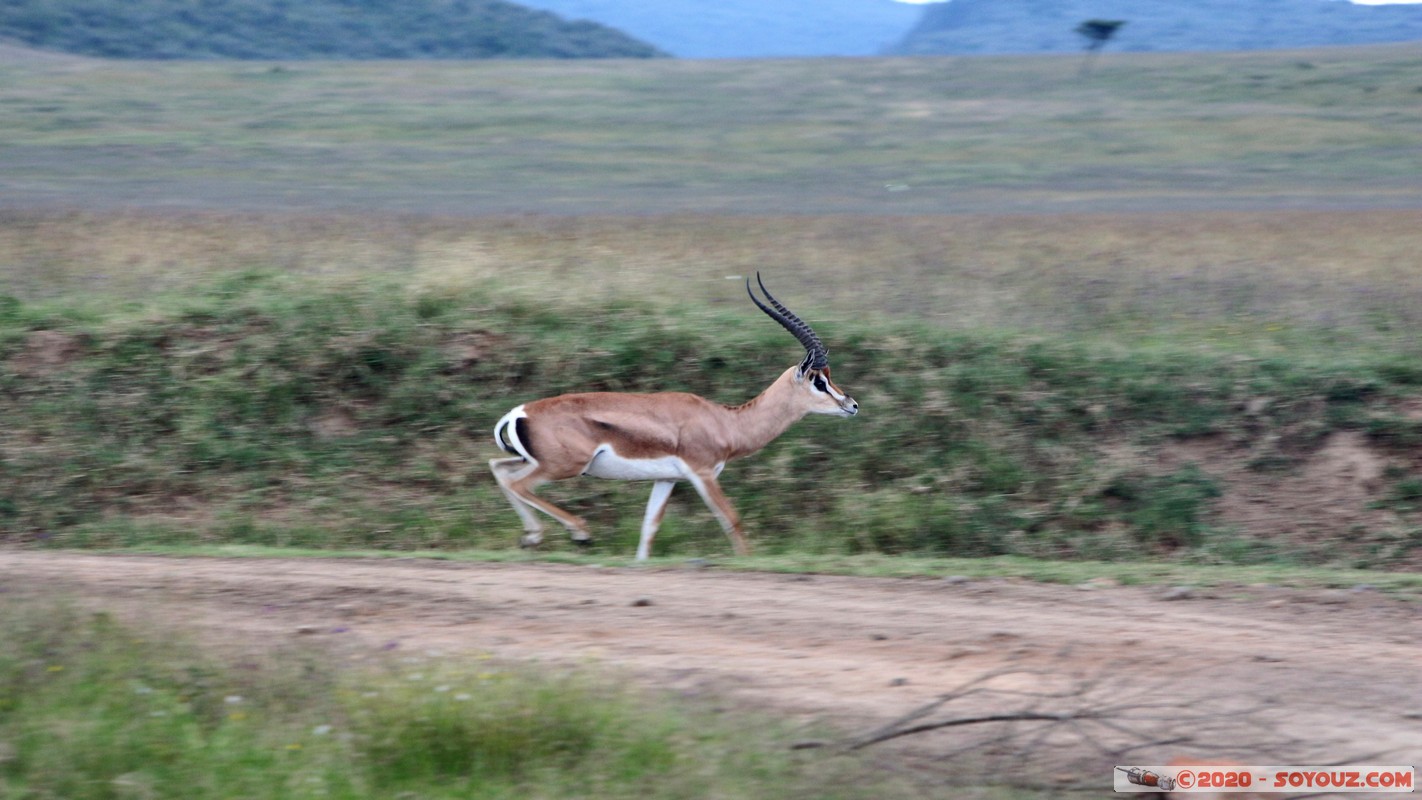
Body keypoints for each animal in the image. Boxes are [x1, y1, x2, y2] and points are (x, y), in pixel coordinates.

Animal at [489, 274, 857, 560]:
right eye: (819, 380)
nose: (851, 405)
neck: (724, 422)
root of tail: (519, 412)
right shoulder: (703, 473)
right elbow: (732, 520)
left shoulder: (667, 479)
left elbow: (649, 528)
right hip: (565, 466)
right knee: (518, 483)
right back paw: (578, 532)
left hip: (537, 461)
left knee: (500, 470)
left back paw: (532, 537)